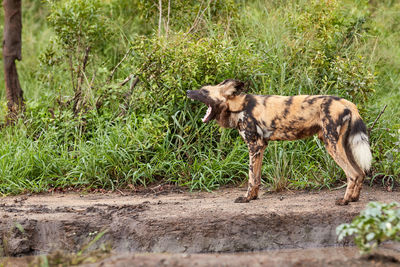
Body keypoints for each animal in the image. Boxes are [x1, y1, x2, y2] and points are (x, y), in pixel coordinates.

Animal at [187, 79, 372, 205]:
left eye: (204, 91)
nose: (188, 91)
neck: (238, 106)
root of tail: (347, 102)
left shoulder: (254, 146)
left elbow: (251, 177)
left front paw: (246, 198)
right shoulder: (260, 147)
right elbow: (257, 178)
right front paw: (253, 197)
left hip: (331, 145)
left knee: (352, 174)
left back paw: (344, 201)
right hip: (343, 146)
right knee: (360, 172)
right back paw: (354, 199)